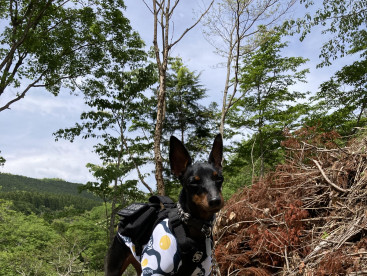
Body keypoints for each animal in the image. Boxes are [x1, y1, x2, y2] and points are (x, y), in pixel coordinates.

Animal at [104, 133, 224, 274]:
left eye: (219, 178)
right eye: (193, 182)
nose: (215, 200)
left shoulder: (203, 271)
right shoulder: (155, 270)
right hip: (115, 267)